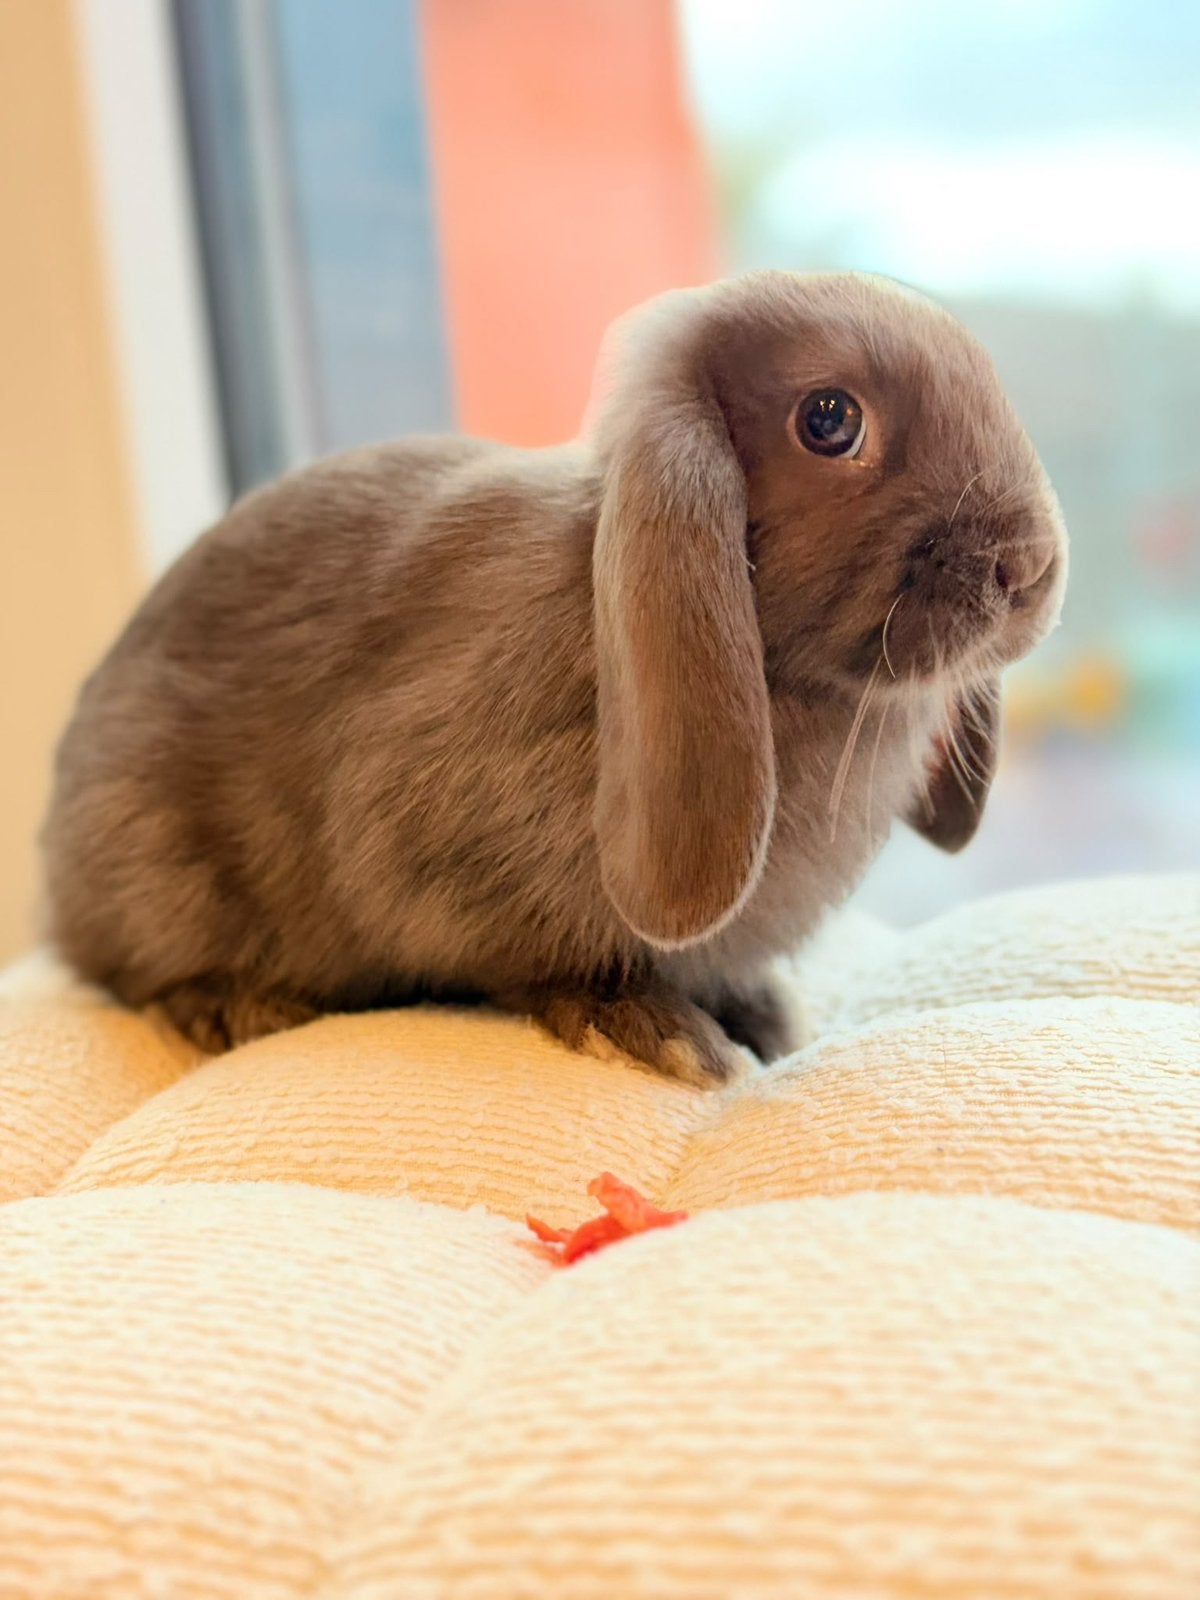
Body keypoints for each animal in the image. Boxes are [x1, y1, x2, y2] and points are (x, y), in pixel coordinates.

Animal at [41, 271, 1066, 1087]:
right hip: (152, 858)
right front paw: (654, 1031)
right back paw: (239, 1007)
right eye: (829, 420)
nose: (1030, 566)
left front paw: (769, 1015)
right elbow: (543, 963)